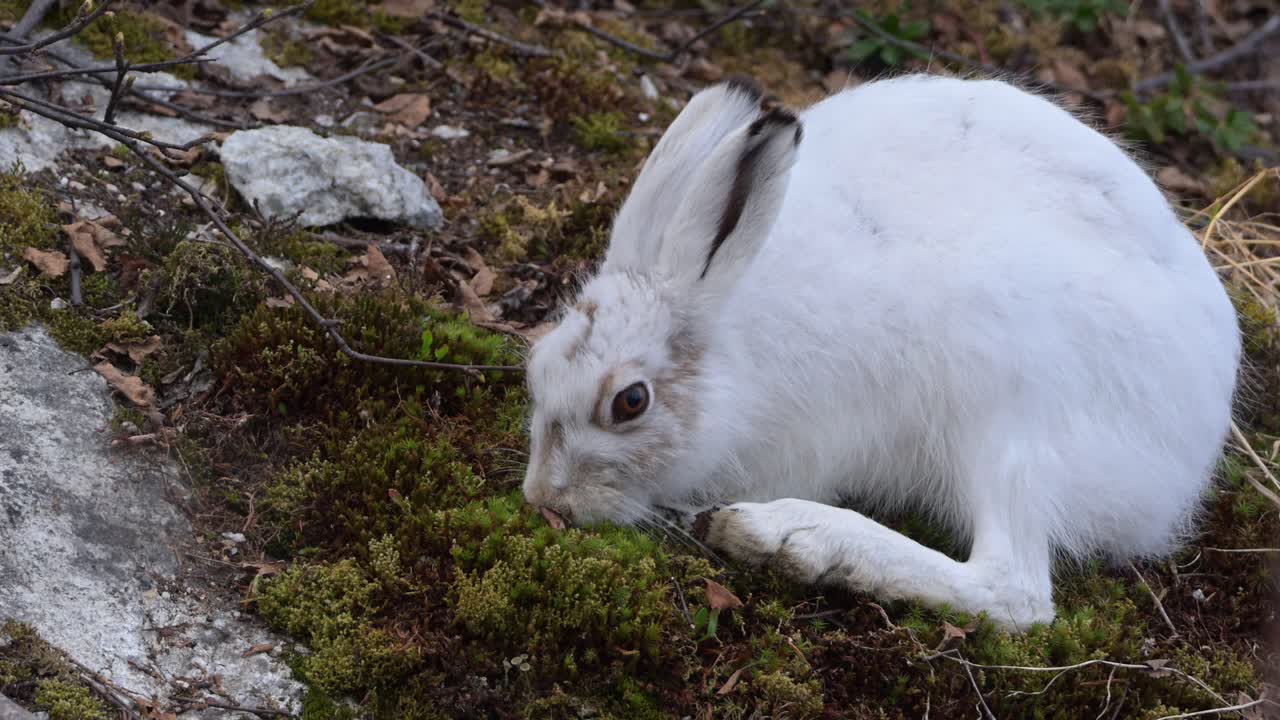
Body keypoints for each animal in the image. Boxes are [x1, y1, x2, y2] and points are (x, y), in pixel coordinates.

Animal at [520, 73, 1242, 630]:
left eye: (630, 402)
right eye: (537, 369)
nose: (545, 499)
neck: (731, 340)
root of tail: (1189, 457)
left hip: (1007, 394)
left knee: (1015, 591)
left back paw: (791, 538)